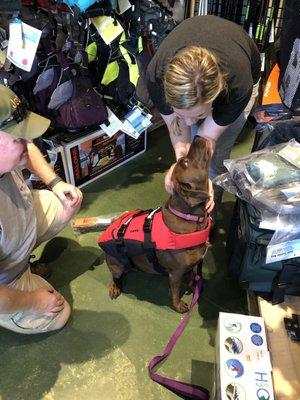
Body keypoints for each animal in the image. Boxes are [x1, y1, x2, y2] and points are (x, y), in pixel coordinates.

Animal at [98, 137, 211, 312]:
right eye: (185, 162)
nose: (198, 137)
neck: (190, 217)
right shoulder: (175, 273)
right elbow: (175, 291)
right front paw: (178, 305)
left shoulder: (192, 264)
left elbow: (192, 276)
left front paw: (193, 286)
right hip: (116, 265)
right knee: (116, 277)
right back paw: (115, 287)